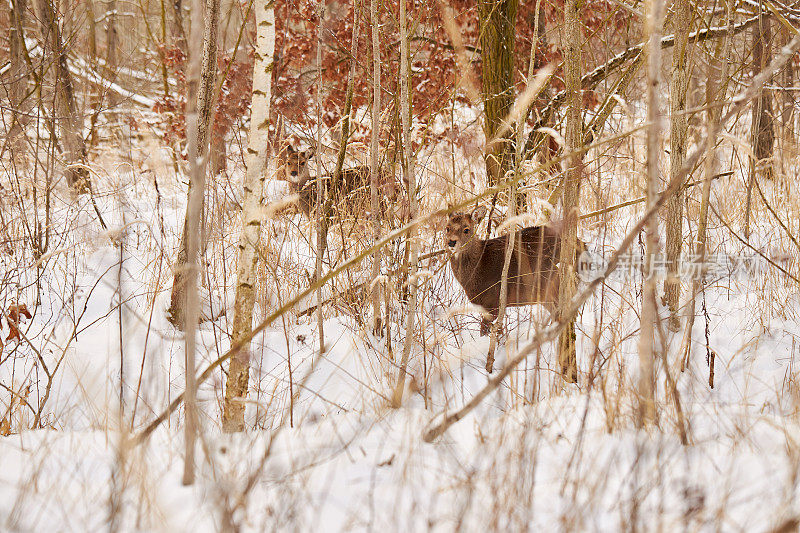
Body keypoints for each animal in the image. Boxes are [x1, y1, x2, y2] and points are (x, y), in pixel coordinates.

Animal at [440, 204, 584, 336]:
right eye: (447, 228)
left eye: (466, 229)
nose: (451, 242)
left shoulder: (493, 302)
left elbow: (485, 332)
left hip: (551, 280)